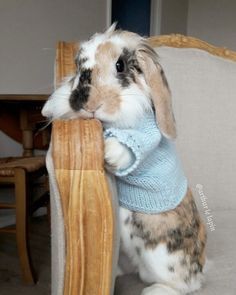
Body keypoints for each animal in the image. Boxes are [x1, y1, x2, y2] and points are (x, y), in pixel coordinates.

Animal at [42, 24, 206, 295]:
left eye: (120, 65)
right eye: (78, 67)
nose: (87, 104)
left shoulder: (144, 136)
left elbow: (130, 145)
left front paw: (108, 151)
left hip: (164, 258)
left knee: (186, 285)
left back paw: (154, 291)